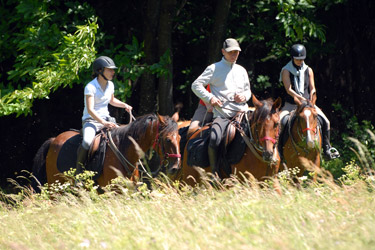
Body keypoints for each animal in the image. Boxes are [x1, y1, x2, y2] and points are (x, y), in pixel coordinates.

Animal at [31, 114, 181, 189]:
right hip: (55, 187)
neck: (123, 150)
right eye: (168, 139)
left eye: (179, 137)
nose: (175, 168)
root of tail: (53, 140)